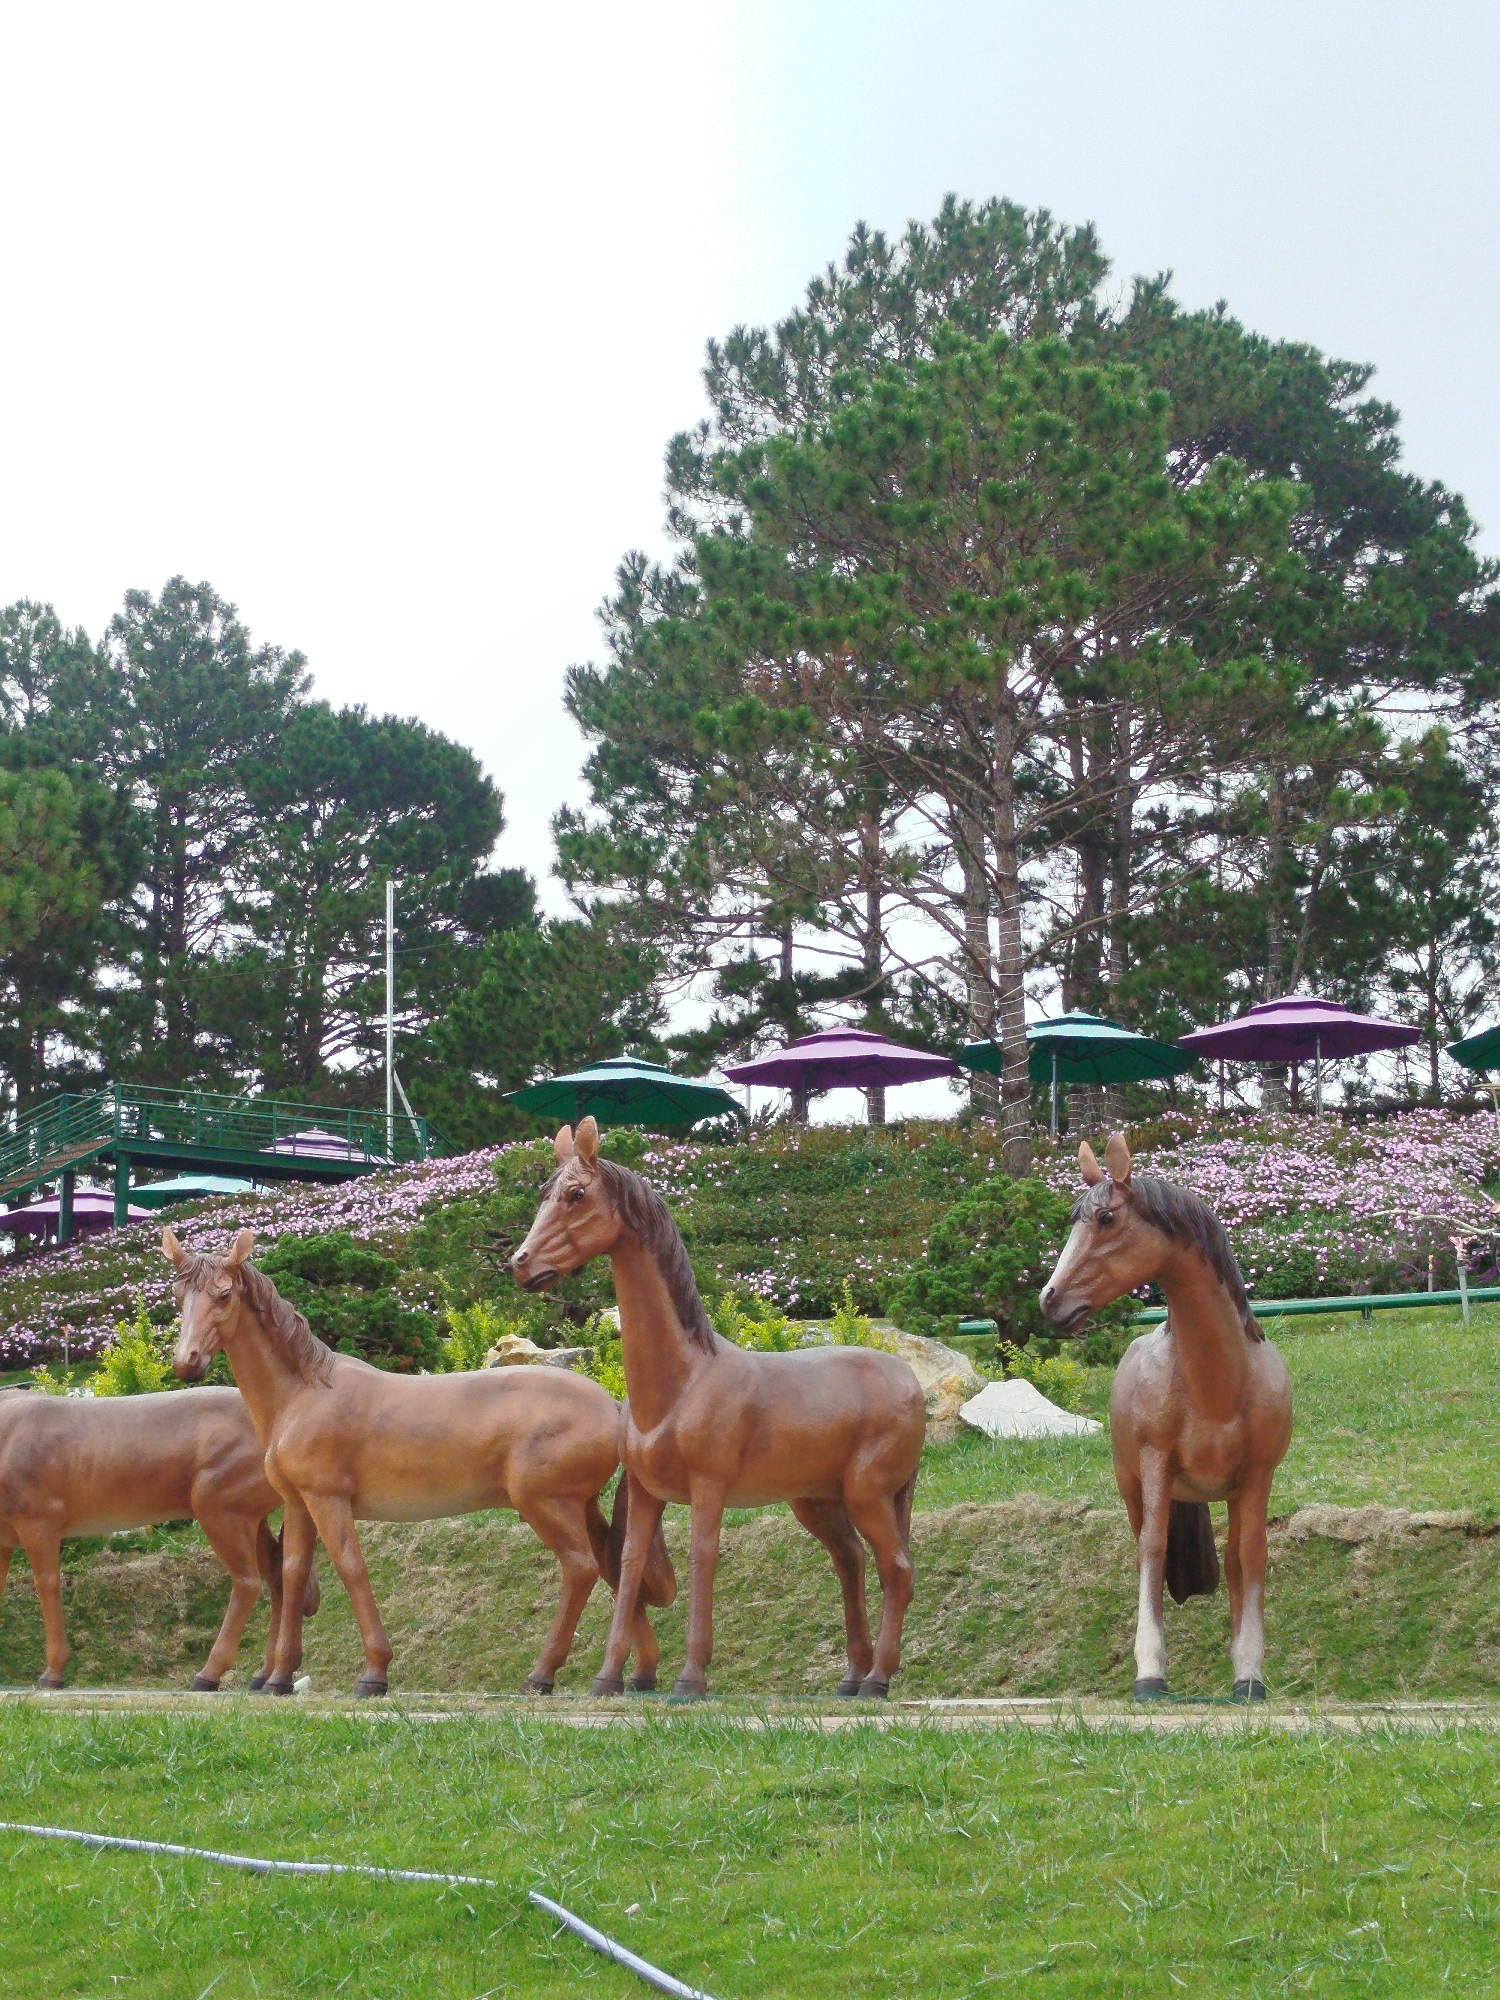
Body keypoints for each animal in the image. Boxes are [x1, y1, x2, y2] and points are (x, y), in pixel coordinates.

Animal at [0, 1383, 318, 1691]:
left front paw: (52, 1673)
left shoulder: (39, 1522)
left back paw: (209, 1674)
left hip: (219, 1509)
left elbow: (47, 1586)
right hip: (251, 1519)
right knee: (278, 1577)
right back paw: (268, 1674)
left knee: (248, 1583)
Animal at [164, 1225, 674, 1697]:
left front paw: (374, 1671)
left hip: (546, 1505)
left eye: (223, 1294)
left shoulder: (329, 1501)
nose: (187, 1361)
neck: (303, 1394)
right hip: (579, 1507)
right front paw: (280, 1676)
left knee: (581, 1569)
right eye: (179, 1295)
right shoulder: (299, 1504)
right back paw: (631, 1672)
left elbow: (351, 1568)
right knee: (610, 1567)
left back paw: (544, 1673)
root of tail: (611, 1405)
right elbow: (292, 1576)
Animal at [511, 1120, 926, 1700]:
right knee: (853, 1563)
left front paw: (690, 1676)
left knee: (898, 1570)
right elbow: (631, 1563)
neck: (682, 1384)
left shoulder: (709, 1488)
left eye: (576, 1195)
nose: (521, 1264)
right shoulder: (646, 1492)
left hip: (870, 1495)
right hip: (819, 1502)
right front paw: (610, 1675)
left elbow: (702, 1557)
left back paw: (878, 1679)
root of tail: (907, 1380)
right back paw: (853, 1676)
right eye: (543, 1194)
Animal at [1040, 1132, 1293, 1701]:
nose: (1049, 1300)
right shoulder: (1156, 1467)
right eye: (1072, 1219)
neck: (1216, 1387)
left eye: (1106, 1218)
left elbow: (1249, 1556)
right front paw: (1149, 1670)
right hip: (1134, 1485)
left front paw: (1249, 1671)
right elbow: (1152, 1553)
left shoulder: (1257, 1478)